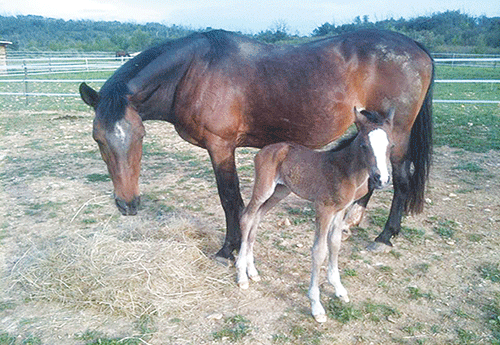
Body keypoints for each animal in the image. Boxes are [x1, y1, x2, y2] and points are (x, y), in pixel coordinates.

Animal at [79, 28, 434, 258]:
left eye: (140, 136)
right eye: (98, 139)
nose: (128, 204)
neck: (194, 71)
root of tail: (415, 47)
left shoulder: (221, 147)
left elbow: (229, 199)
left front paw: (229, 249)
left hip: (395, 135)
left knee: (401, 180)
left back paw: (384, 237)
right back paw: (352, 222)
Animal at [237, 107, 394, 322]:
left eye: (391, 146)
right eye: (364, 145)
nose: (382, 179)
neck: (346, 170)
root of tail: (263, 150)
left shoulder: (341, 209)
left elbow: (335, 243)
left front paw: (339, 289)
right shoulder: (324, 208)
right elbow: (319, 251)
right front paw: (316, 305)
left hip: (281, 191)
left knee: (257, 218)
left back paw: (251, 271)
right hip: (264, 188)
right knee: (246, 217)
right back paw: (242, 276)